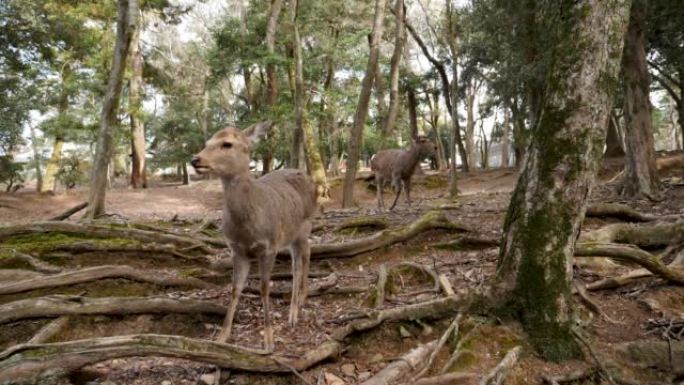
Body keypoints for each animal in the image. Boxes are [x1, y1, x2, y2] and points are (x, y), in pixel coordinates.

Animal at [190, 121, 318, 352]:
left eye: (227, 143)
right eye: (207, 142)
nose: (195, 159)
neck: (248, 227)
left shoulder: (269, 246)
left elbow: (264, 288)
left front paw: (269, 341)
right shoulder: (237, 249)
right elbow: (235, 288)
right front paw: (222, 337)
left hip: (304, 226)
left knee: (298, 263)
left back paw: (293, 314)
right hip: (292, 234)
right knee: (307, 252)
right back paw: (302, 299)